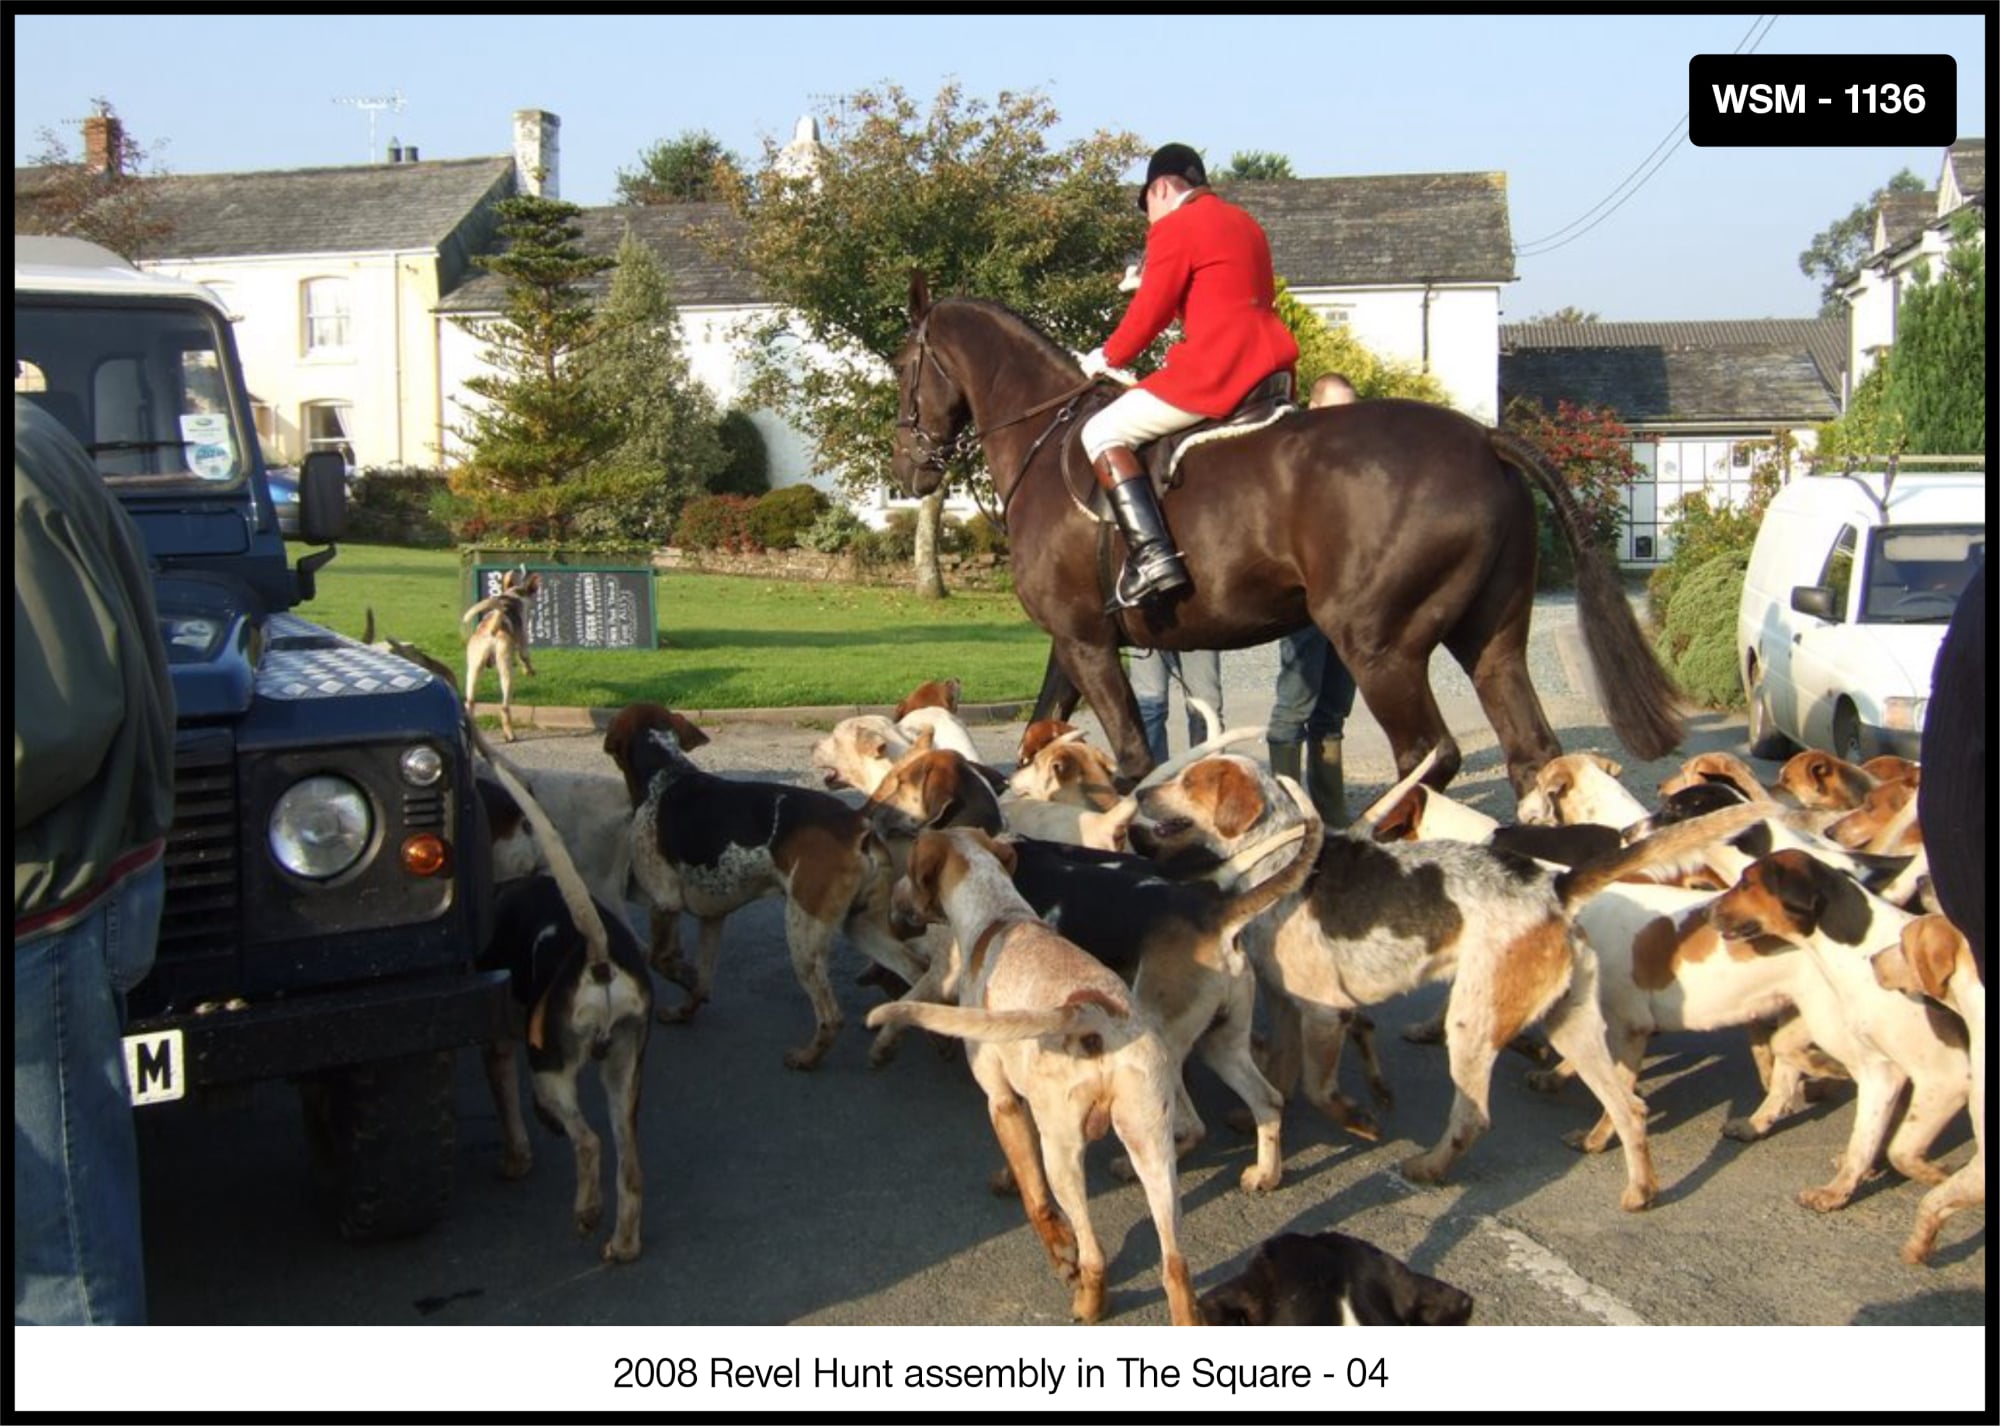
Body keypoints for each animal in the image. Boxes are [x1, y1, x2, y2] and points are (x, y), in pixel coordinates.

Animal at [888, 272, 1672, 796]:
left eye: (900, 366)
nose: (910, 470)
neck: (1044, 439)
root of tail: (1484, 439)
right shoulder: (1073, 639)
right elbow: (1036, 738)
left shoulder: (1084, 640)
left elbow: (1132, 760)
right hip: (1492, 638)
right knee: (1531, 752)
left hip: (1379, 646)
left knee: (1429, 757)